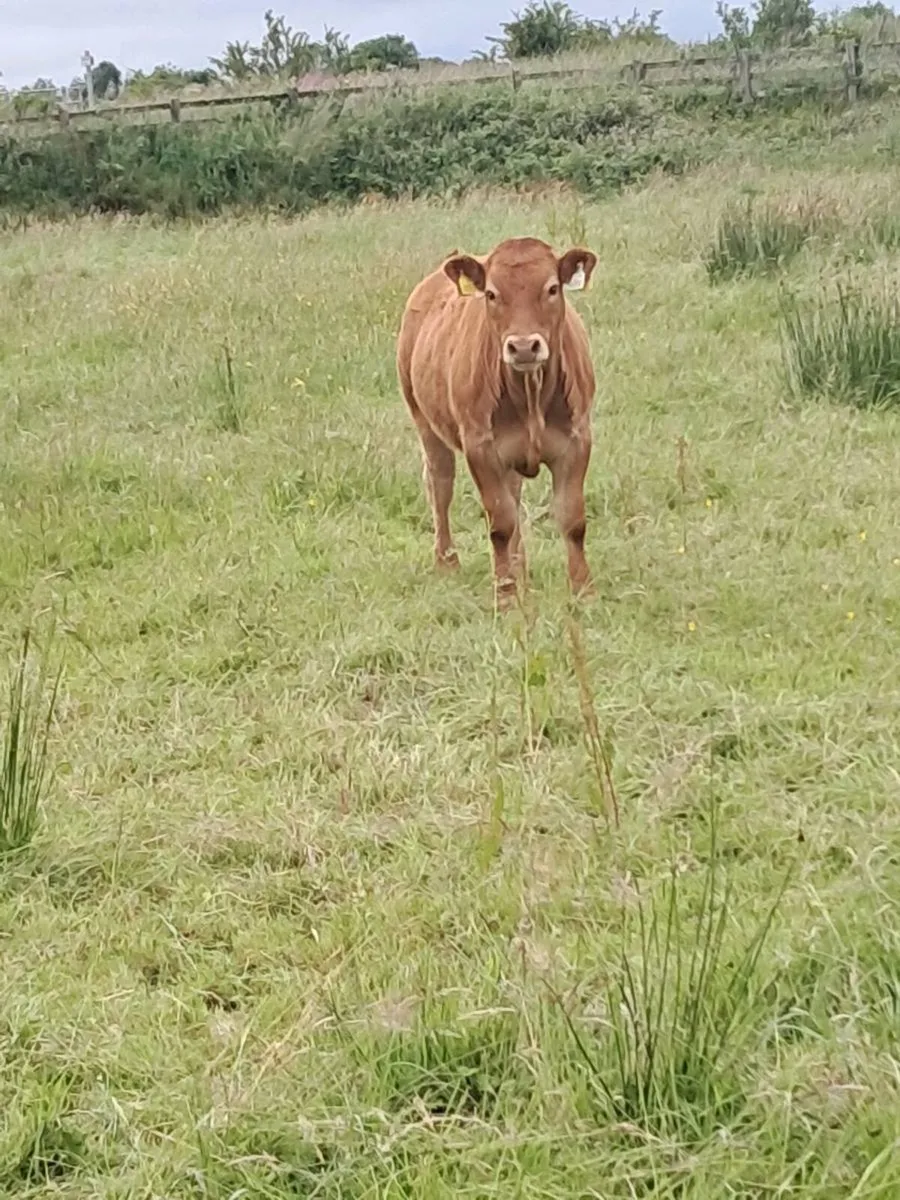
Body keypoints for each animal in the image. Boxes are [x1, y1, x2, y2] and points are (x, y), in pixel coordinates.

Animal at [396, 235, 598, 607]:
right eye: (491, 293)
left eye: (552, 288)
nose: (524, 346)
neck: (531, 394)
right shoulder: (481, 448)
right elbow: (500, 524)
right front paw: (505, 596)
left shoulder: (577, 441)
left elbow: (573, 519)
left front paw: (584, 592)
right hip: (425, 422)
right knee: (440, 486)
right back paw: (447, 561)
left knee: (513, 497)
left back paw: (520, 568)